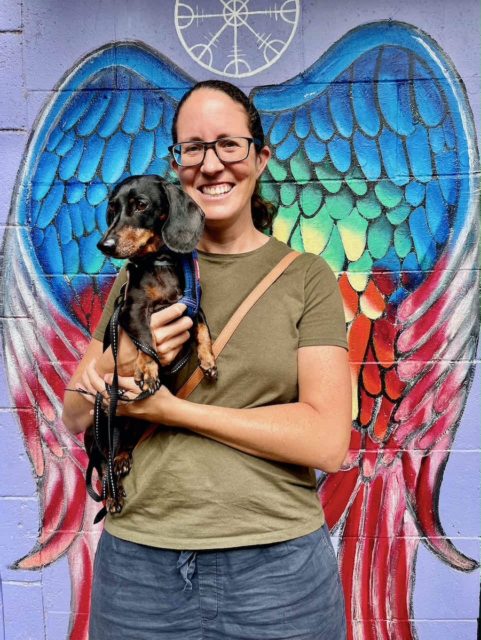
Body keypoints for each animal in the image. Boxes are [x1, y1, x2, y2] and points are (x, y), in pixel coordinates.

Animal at [84, 174, 216, 516]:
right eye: (112, 208)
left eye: (140, 204)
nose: (104, 245)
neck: (160, 262)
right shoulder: (132, 310)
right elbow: (145, 340)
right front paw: (147, 370)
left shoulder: (191, 307)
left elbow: (203, 330)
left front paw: (208, 361)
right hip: (98, 425)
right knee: (103, 462)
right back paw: (113, 492)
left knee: (120, 449)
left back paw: (122, 460)